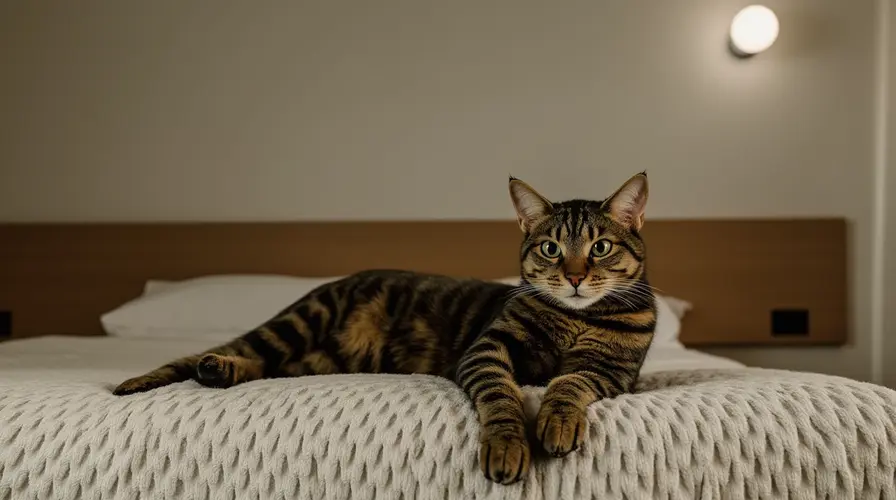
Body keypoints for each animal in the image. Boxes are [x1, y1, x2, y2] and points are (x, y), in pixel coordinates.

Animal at [115, 172, 656, 484]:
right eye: (550, 248)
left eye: (600, 247)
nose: (575, 276)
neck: (576, 318)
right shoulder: (487, 350)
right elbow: (501, 397)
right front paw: (508, 445)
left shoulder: (612, 371)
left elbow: (568, 382)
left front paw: (556, 422)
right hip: (299, 322)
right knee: (225, 353)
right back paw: (153, 378)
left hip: (318, 360)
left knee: (270, 366)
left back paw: (220, 372)